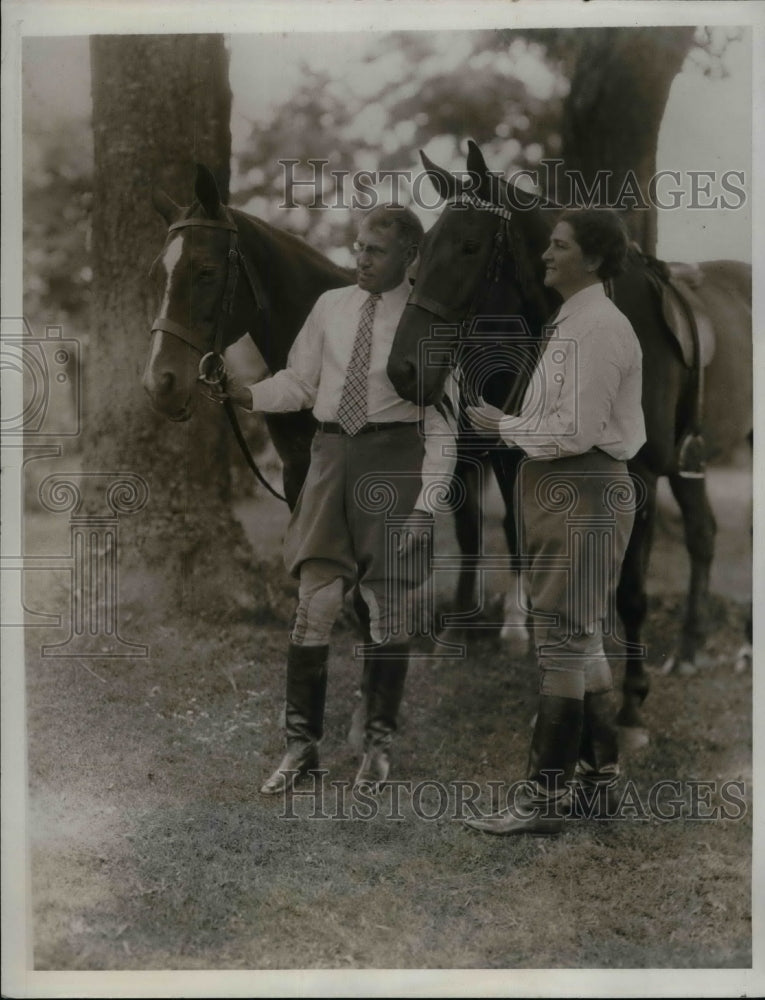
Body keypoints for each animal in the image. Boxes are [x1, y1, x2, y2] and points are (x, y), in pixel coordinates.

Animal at [388, 139, 752, 736]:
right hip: (689, 463)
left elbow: (628, 592)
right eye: (424, 249)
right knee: (703, 535)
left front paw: (630, 705)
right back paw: (688, 651)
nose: (402, 371)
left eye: (468, 246)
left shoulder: (639, 478)